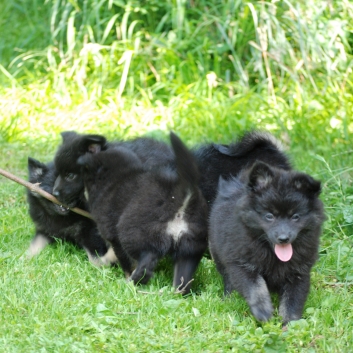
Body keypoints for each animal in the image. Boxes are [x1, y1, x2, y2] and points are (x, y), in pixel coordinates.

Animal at [78, 131, 208, 292]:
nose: (80, 196)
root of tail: (181, 193)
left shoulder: (114, 236)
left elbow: (122, 260)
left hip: (136, 236)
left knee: (146, 264)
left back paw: (131, 284)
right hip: (191, 247)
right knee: (183, 281)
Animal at [206, 161, 324, 324]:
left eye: (295, 217)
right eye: (269, 216)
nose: (283, 238)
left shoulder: (299, 271)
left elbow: (292, 300)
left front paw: (289, 323)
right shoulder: (241, 264)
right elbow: (256, 288)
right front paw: (263, 311)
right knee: (228, 279)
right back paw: (229, 298)